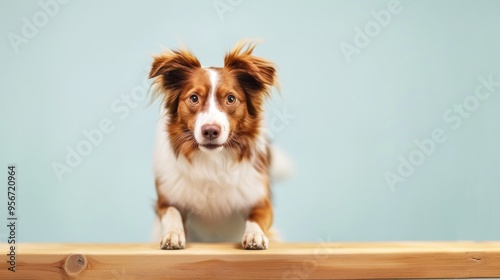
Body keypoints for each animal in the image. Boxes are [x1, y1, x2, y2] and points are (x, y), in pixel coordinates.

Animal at [148, 41, 282, 249]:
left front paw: (255, 235)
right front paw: (172, 234)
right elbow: (172, 213)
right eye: (194, 98)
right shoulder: (166, 200)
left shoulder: (261, 201)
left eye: (231, 99)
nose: (210, 131)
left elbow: (256, 217)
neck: (213, 160)